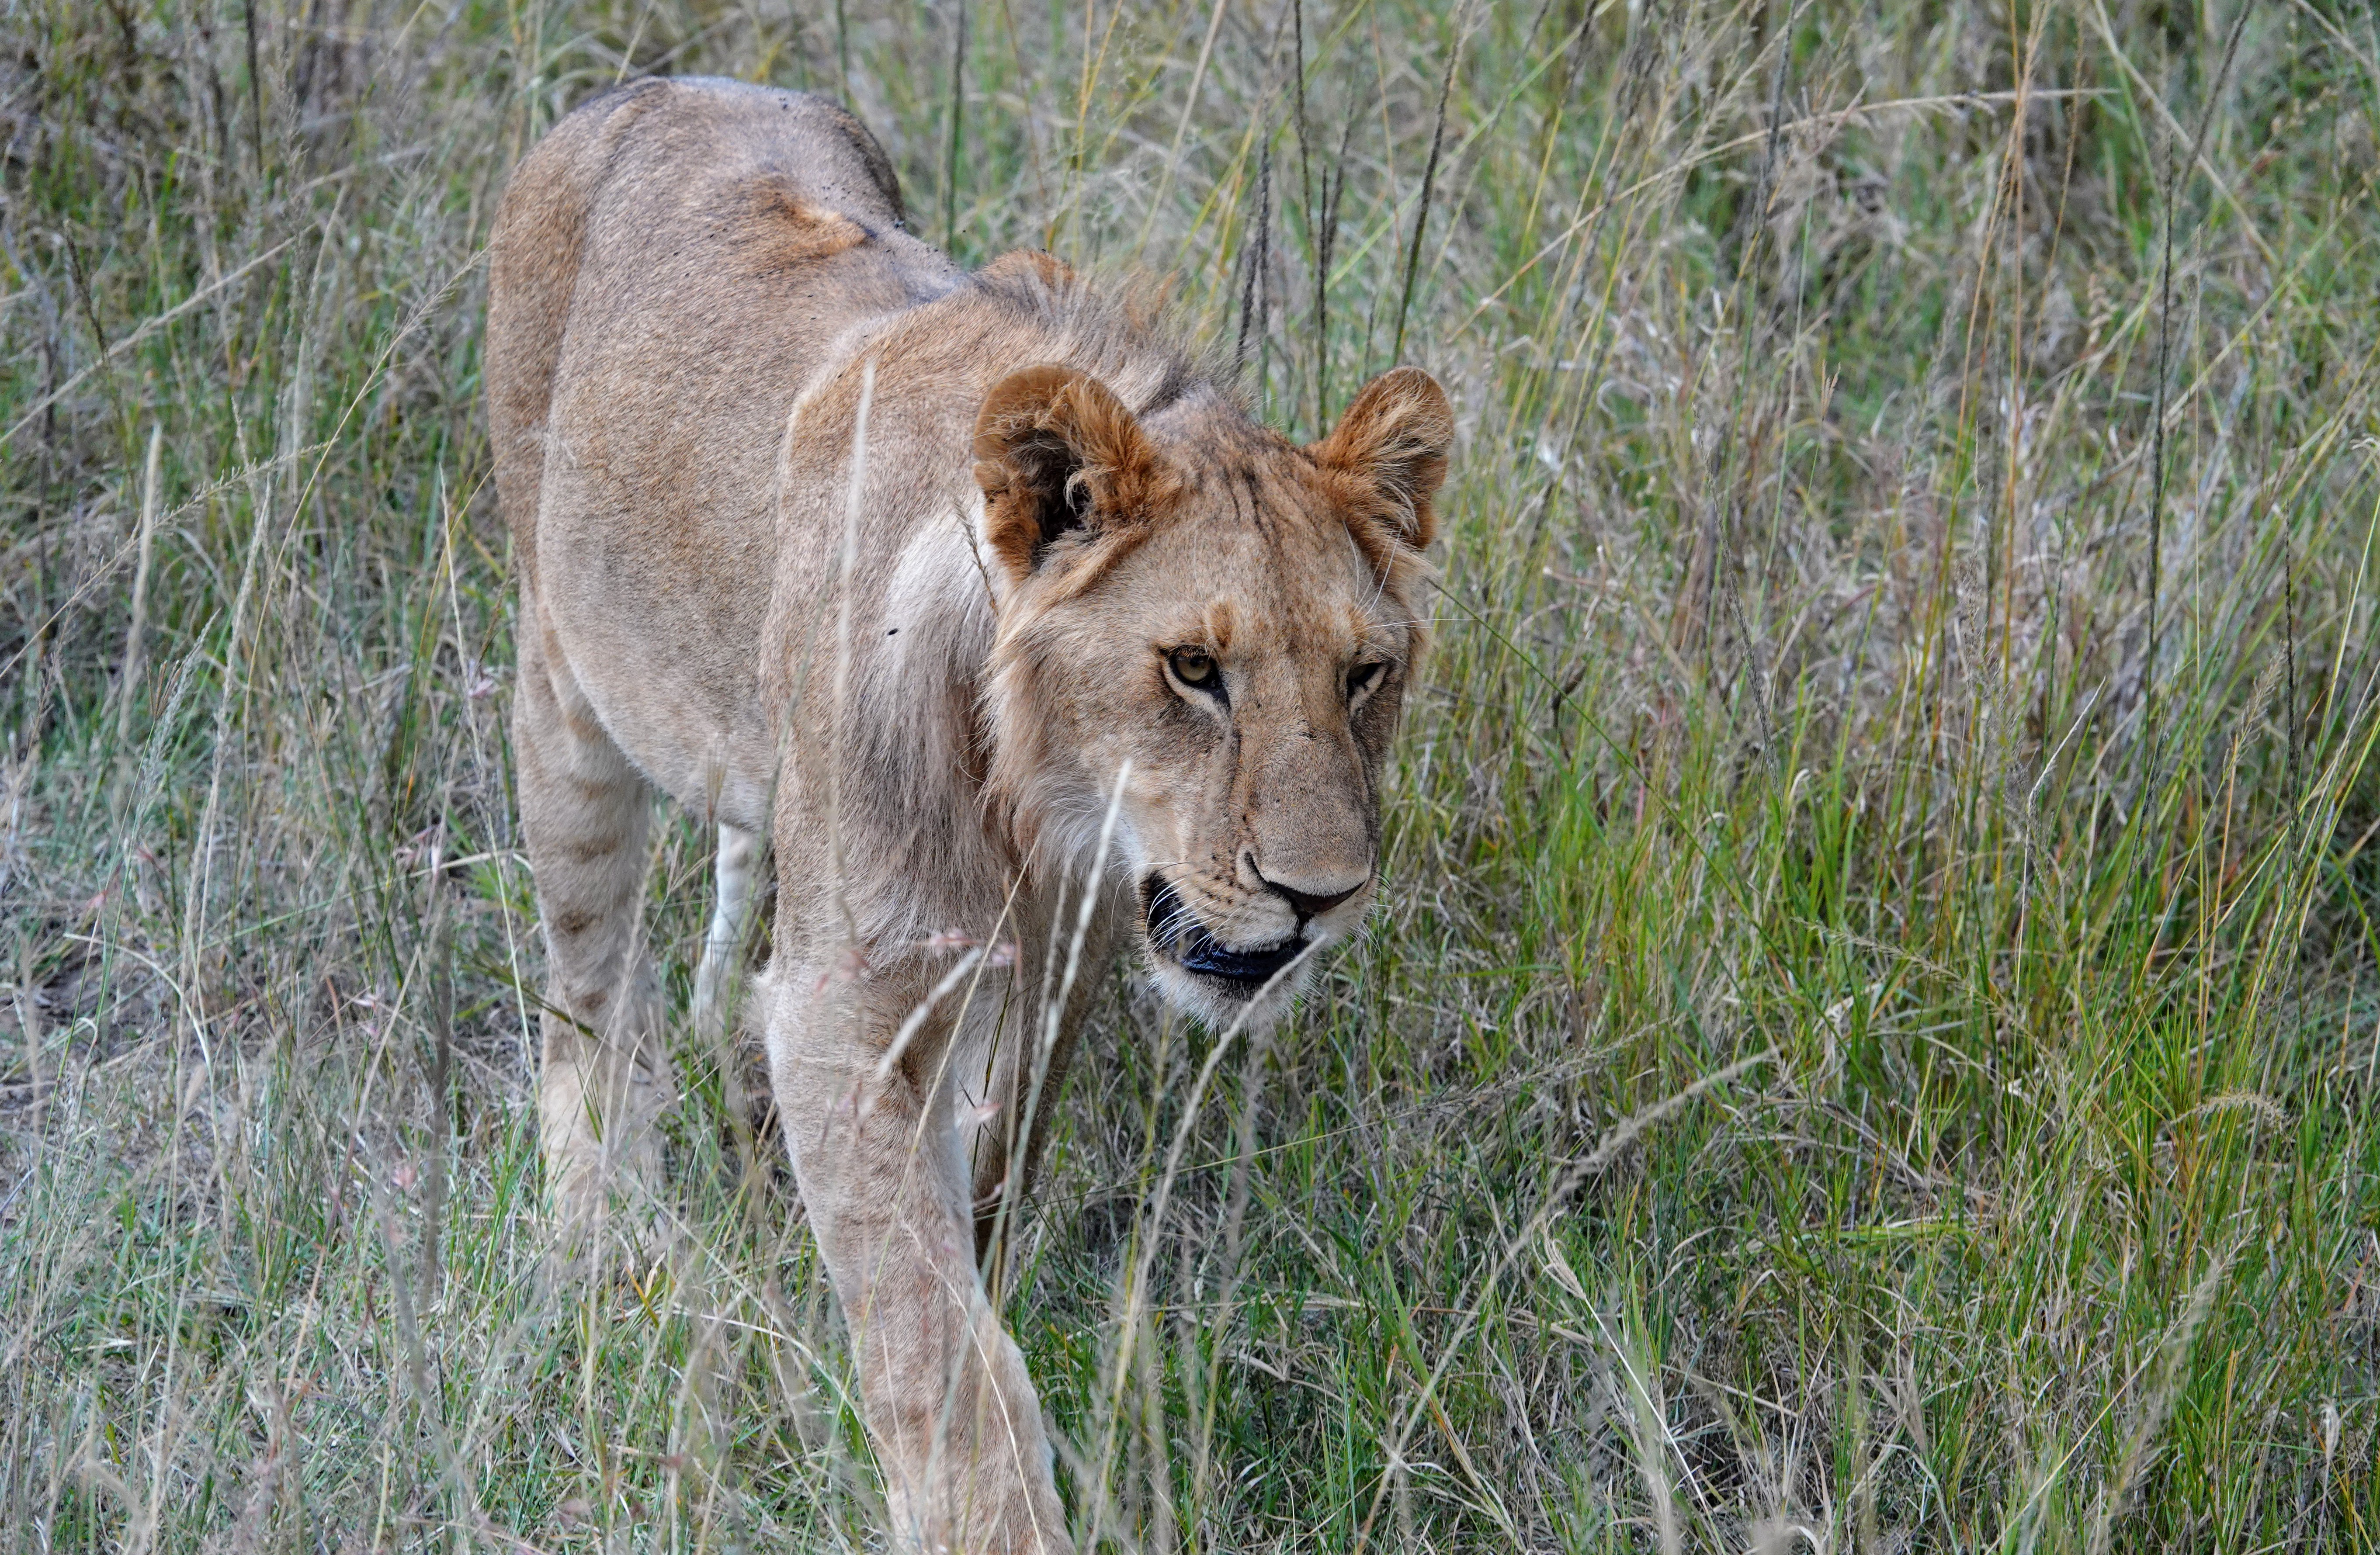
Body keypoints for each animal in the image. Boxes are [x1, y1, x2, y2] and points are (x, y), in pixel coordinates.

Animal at [483, 76, 1447, 1555]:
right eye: (1192, 667)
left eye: (1363, 674)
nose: (1321, 894)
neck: (1038, 821)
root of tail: (660, 84)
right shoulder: (844, 1015)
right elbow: (932, 1334)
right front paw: (991, 1506)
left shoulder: (1052, 980)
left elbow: (978, 1202)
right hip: (563, 691)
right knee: (585, 993)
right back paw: (600, 1247)